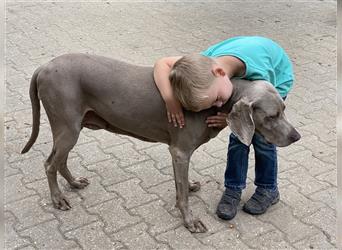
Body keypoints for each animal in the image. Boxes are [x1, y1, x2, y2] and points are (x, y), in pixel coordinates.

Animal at [21, 53, 300, 233]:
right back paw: (58, 199)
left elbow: (181, 183)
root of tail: (44, 66)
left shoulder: (179, 153)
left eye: (284, 109)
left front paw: (189, 187)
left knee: (60, 160)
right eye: (272, 116)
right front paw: (190, 221)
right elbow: (182, 194)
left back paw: (74, 183)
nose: (296, 136)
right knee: (49, 164)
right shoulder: (180, 151)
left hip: (70, 127)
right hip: (67, 126)